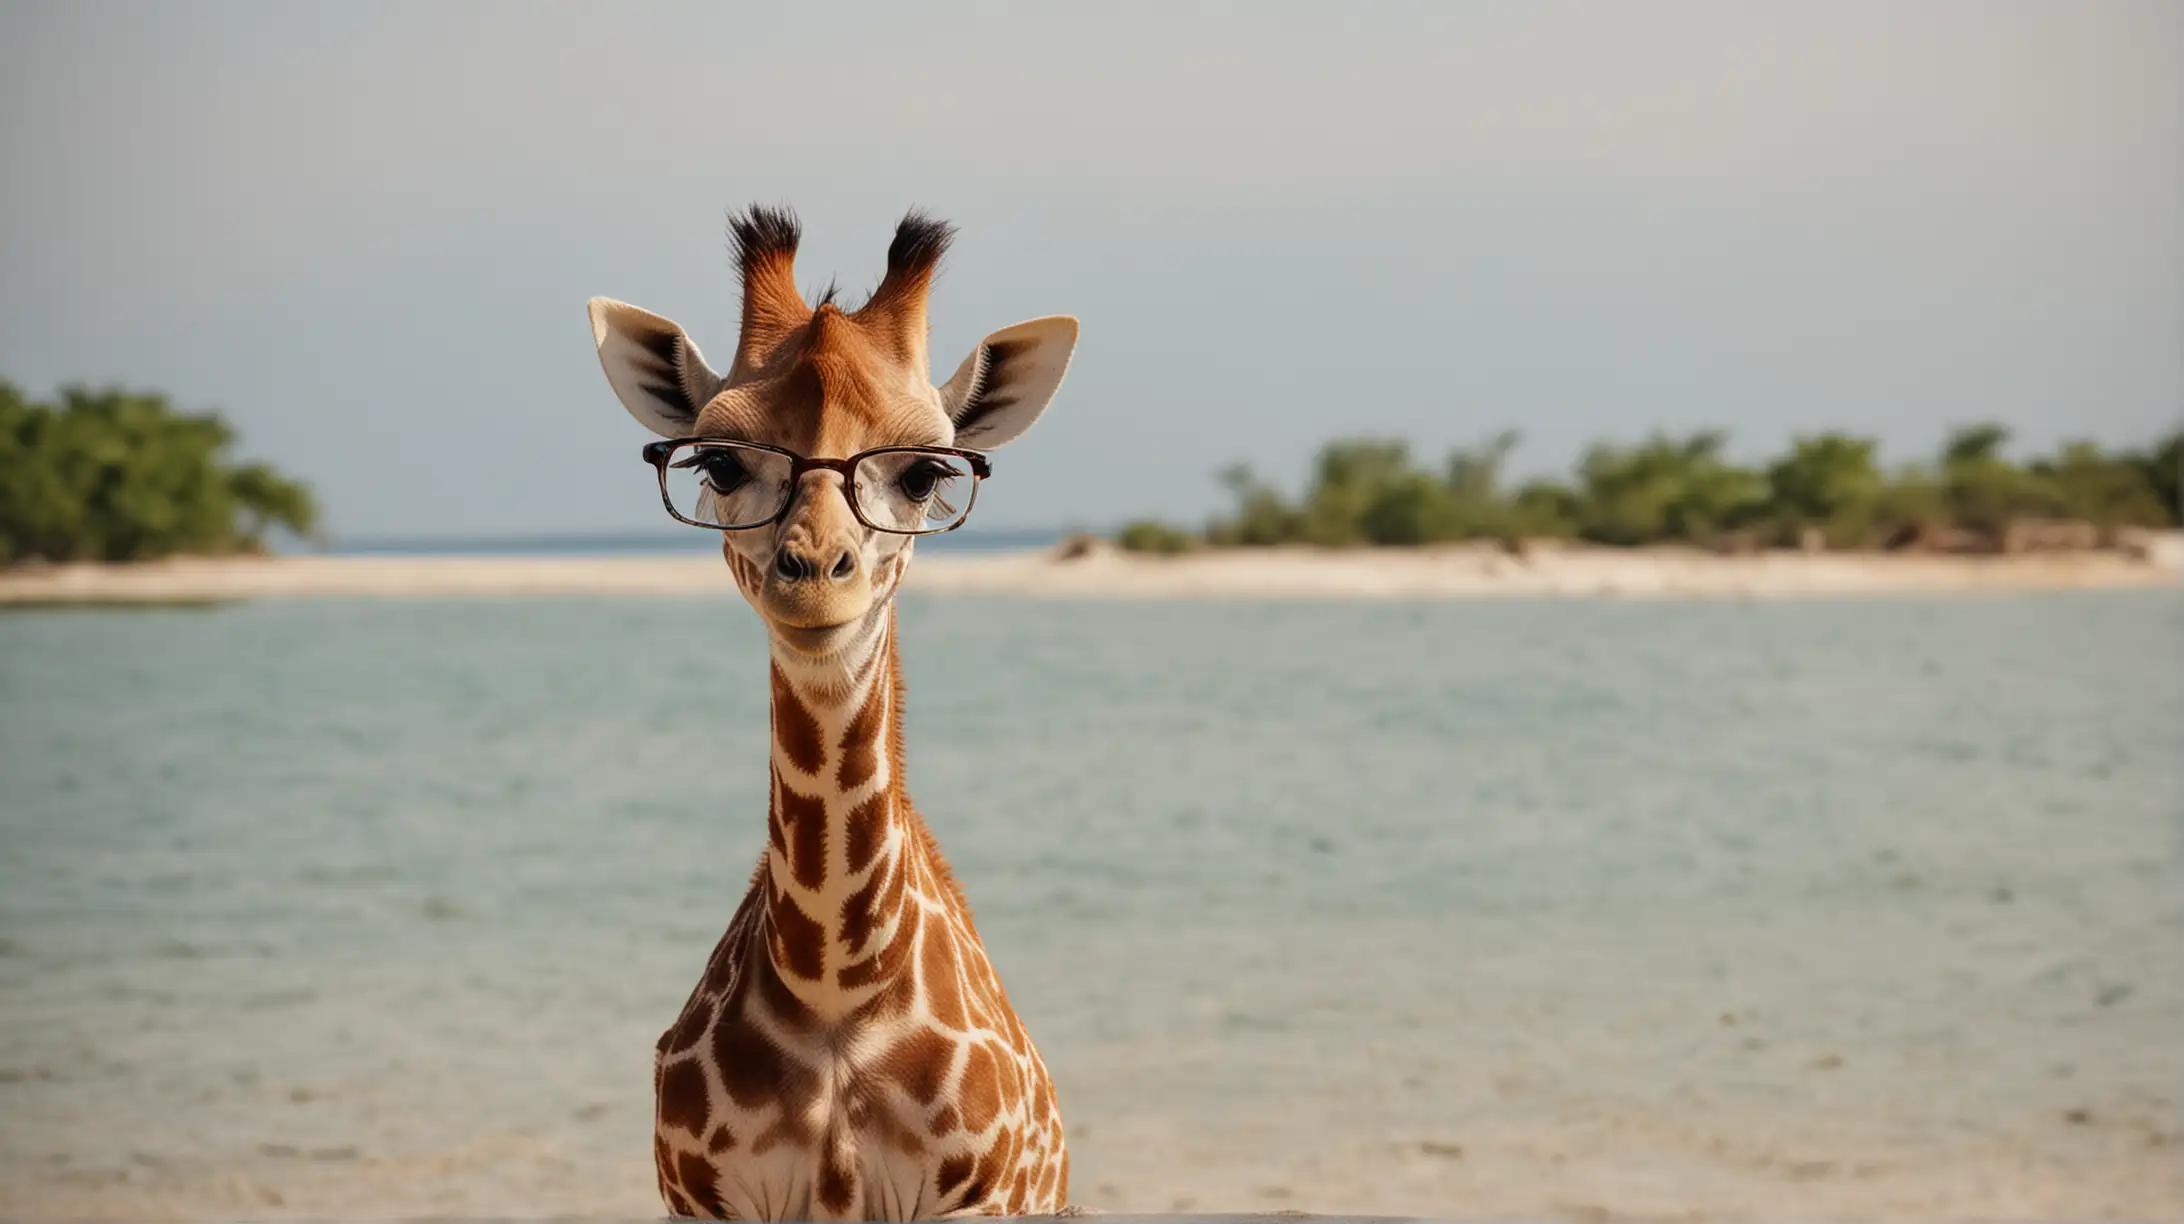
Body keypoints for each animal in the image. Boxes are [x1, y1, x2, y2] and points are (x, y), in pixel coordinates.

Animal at [585, 205, 1078, 1215]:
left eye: (926, 474)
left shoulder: (979, 1196)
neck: (835, 989)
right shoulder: (700, 1197)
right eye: (720, 462)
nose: (813, 577)